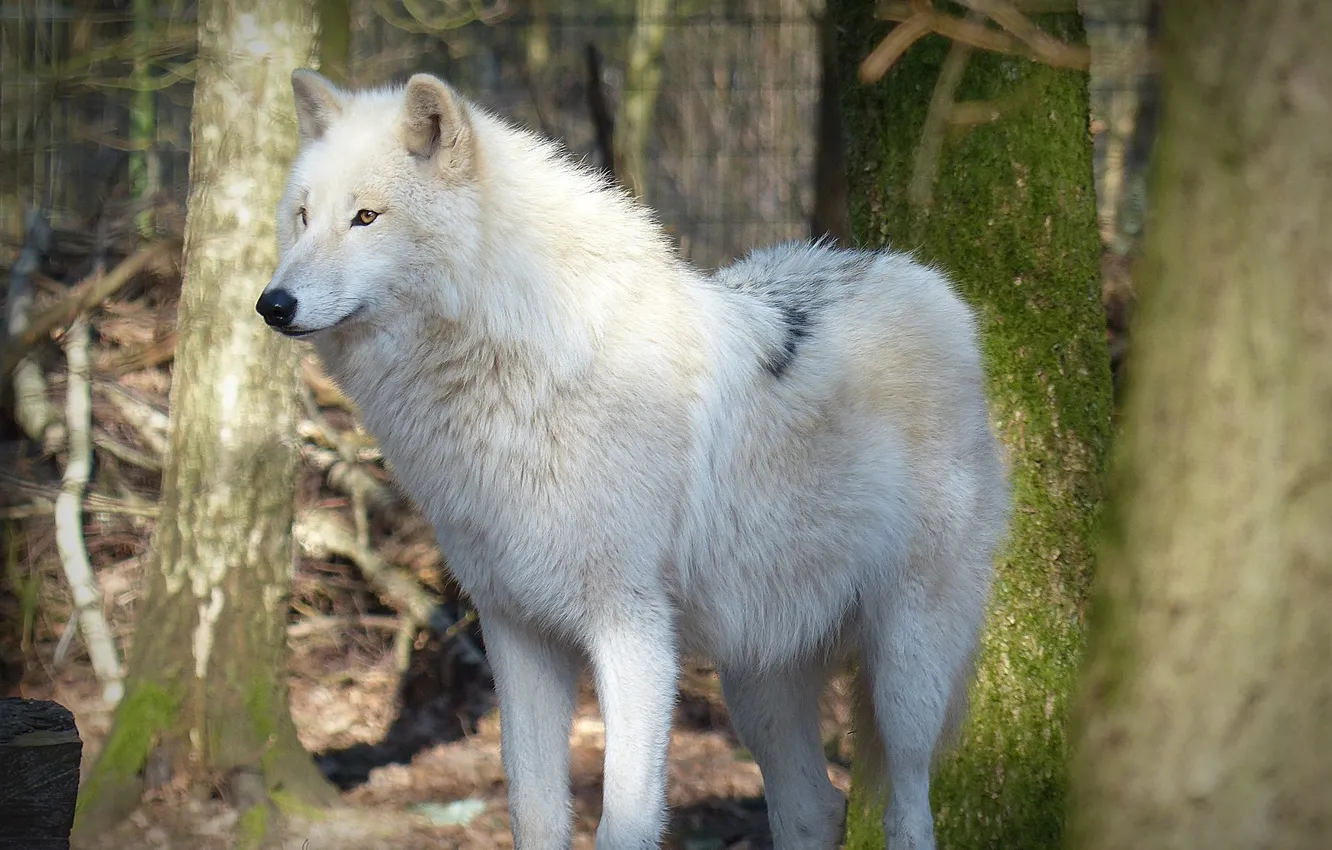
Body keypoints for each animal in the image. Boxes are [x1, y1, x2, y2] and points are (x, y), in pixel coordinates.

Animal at [256, 68, 1010, 850]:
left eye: (366, 218)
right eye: (303, 217)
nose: (271, 304)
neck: (514, 372)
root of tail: (918, 276)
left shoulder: (633, 630)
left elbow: (621, 820)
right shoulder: (515, 630)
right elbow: (533, 813)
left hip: (904, 670)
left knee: (908, 807)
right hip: (758, 676)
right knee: (815, 807)